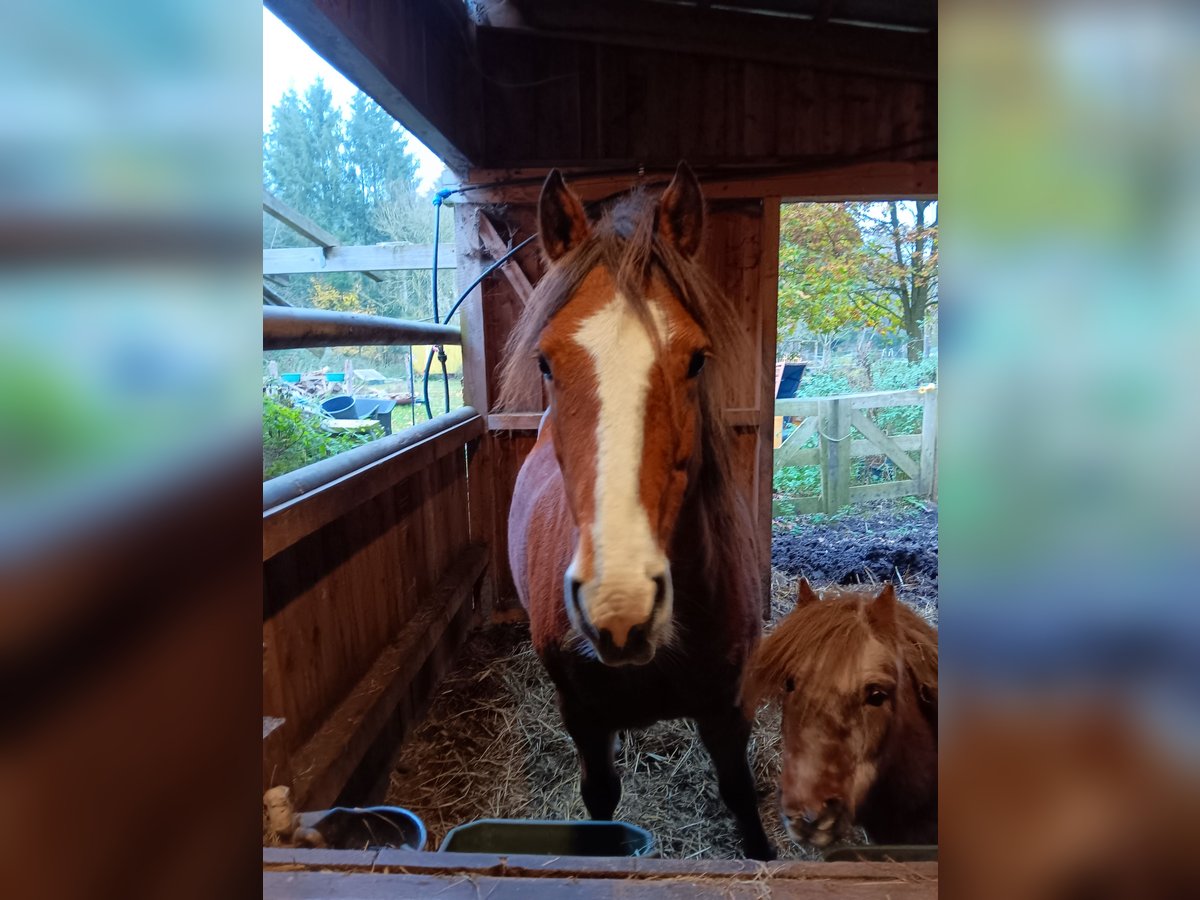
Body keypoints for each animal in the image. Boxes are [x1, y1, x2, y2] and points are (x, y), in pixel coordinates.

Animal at [501, 165, 772, 864]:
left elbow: (742, 796)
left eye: (697, 358)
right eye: (545, 362)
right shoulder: (584, 719)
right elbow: (600, 800)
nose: (619, 604)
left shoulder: (730, 708)